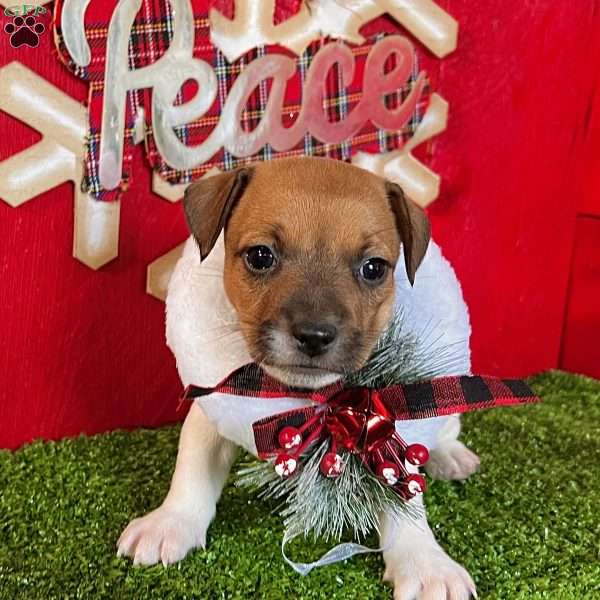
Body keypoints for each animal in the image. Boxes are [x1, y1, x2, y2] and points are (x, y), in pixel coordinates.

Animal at [119, 157, 480, 596]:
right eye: (260, 256)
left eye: (374, 268)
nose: (314, 335)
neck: (307, 397)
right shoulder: (212, 406)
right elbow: (193, 466)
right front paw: (171, 522)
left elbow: (403, 495)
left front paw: (426, 565)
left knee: (444, 429)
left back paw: (452, 456)